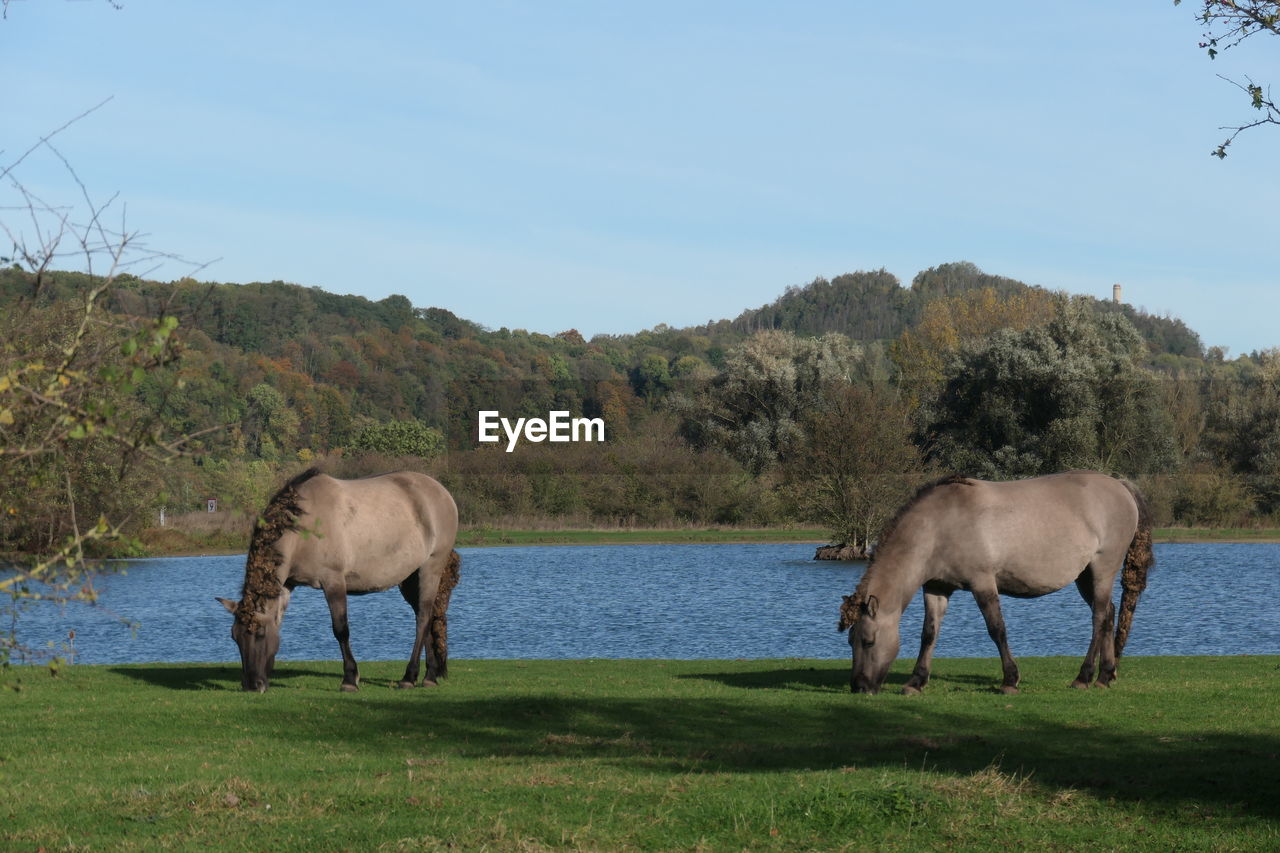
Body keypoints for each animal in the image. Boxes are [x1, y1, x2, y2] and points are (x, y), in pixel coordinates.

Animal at [218, 466, 460, 691]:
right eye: (234, 637)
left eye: (259, 633)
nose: (252, 685)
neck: (303, 528)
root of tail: (441, 492)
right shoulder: (287, 585)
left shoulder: (333, 581)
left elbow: (341, 629)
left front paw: (350, 679)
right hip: (410, 578)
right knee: (426, 615)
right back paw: (430, 675)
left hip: (431, 568)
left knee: (423, 618)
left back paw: (410, 677)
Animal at [834, 468, 1157, 696]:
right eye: (850, 641)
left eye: (868, 640)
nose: (859, 687)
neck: (939, 526)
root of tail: (1120, 486)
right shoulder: (937, 587)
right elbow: (929, 634)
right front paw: (916, 681)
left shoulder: (982, 583)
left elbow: (996, 629)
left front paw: (1010, 680)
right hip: (1085, 577)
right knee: (1109, 614)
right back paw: (1106, 674)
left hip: (1102, 569)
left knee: (1099, 617)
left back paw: (1084, 676)